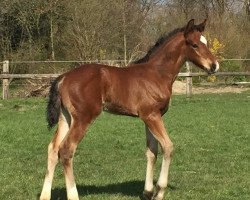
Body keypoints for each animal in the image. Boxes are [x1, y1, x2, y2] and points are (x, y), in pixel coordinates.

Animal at [39, 19, 219, 200]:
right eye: (194, 44)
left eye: (205, 42)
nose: (214, 66)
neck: (157, 74)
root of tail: (63, 77)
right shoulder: (152, 116)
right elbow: (168, 147)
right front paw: (159, 191)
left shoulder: (149, 117)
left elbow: (151, 151)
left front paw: (147, 192)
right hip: (83, 118)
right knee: (66, 149)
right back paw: (73, 195)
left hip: (66, 118)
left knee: (53, 149)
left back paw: (45, 195)